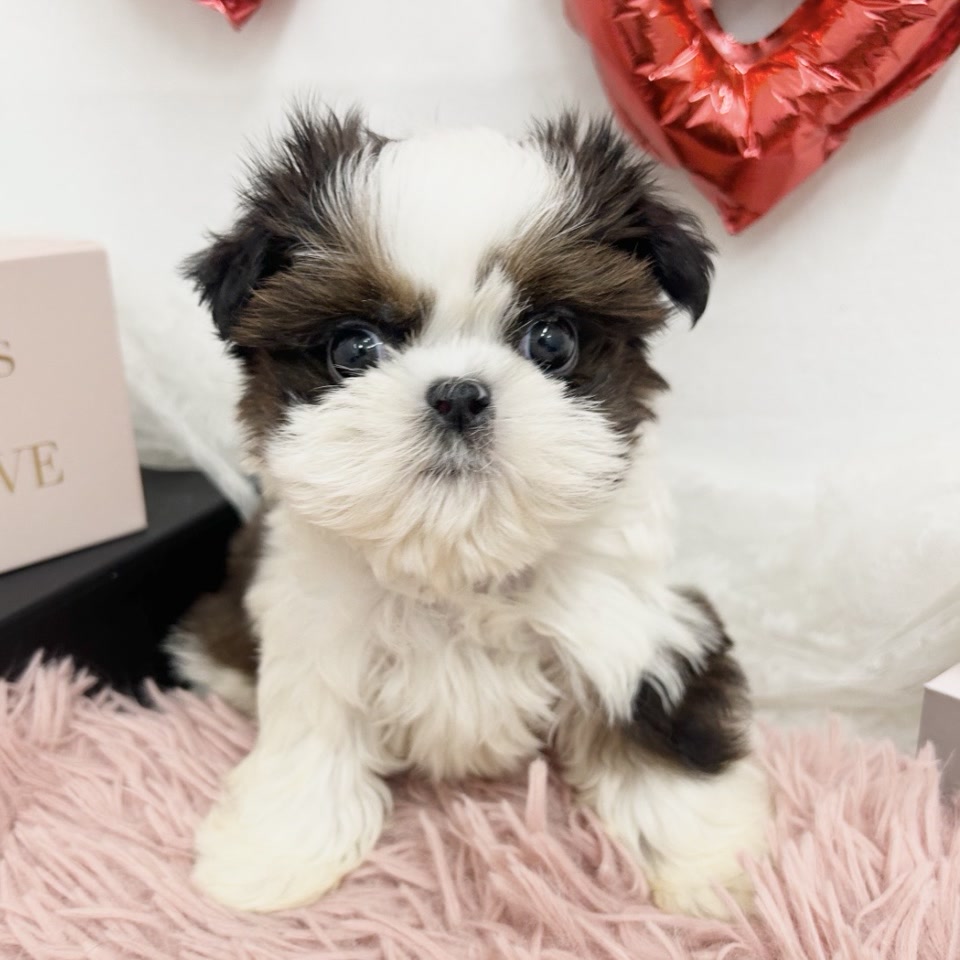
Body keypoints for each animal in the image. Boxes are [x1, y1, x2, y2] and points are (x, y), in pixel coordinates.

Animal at [169, 107, 770, 918]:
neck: (457, 559)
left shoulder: (629, 628)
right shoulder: (320, 646)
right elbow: (313, 744)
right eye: (353, 347)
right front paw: (274, 854)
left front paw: (709, 864)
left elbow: (661, 740)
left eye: (551, 338)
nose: (457, 394)